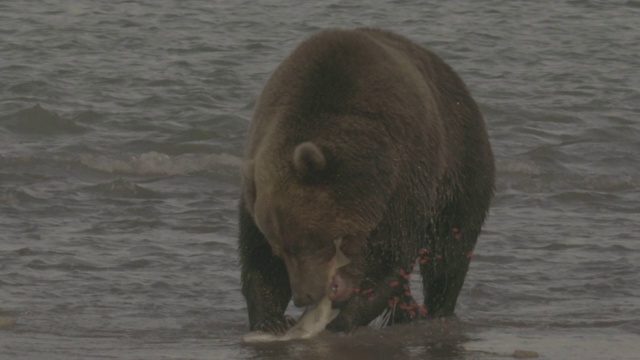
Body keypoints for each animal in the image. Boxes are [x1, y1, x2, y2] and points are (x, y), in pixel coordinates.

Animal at [239, 28, 496, 334]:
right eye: (281, 250)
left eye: (310, 242)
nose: (304, 296)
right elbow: (257, 258)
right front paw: (272, 320)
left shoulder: (403, 180)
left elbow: (391, 256)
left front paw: (342, 318)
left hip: (461, 163)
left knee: (450, 247)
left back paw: (437, 310)